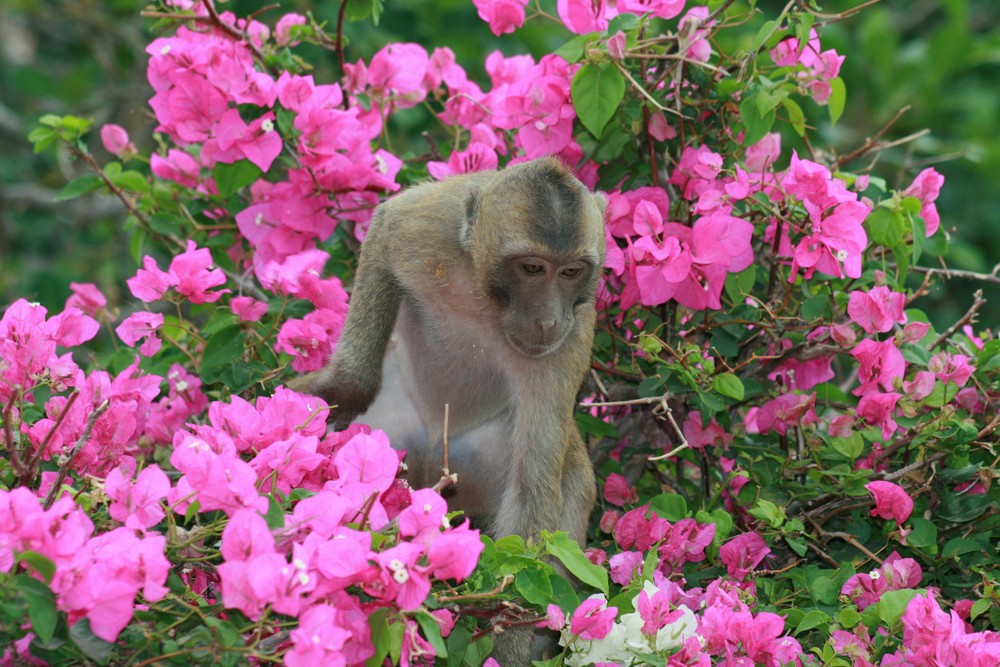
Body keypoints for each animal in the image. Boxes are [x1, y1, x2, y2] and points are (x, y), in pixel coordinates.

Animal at [286, 157, 604, 664]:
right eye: (533, 268)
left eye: (572, 272)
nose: (548, 319)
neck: (488, 299)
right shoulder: (434, 228)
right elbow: (387, 225)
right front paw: (349, 387)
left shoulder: (570, 337)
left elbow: (533, 490)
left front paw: (506, 644)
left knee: (568, 482)